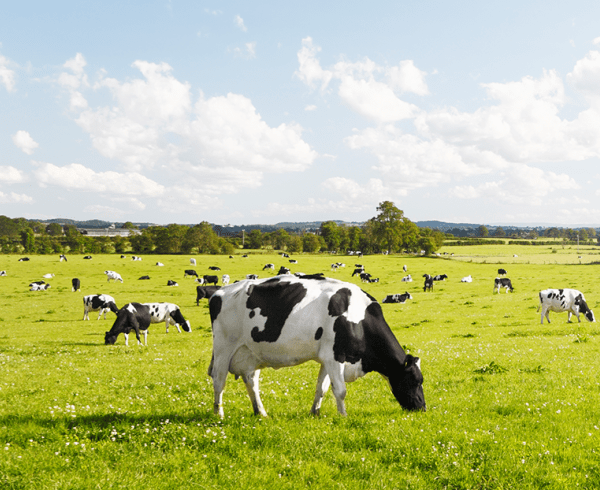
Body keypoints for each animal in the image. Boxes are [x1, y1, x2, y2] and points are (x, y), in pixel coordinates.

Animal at [209, 276, 424, 418]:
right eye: (415, 380)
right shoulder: (336, 356)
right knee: (219, 381)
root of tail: (219, 293)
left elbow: (322, 388)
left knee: (251, 381)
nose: (423, 407)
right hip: (223, 349)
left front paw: (315, 412)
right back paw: (219, 414)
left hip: (251, 353)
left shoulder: (327, 358)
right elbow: (340, 390)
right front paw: (343, 416)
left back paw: (261, 412)